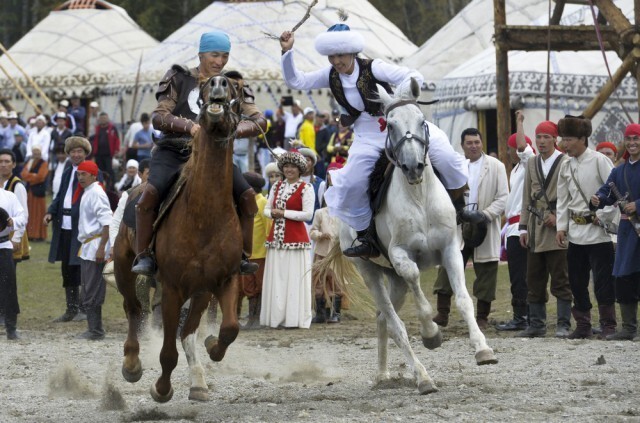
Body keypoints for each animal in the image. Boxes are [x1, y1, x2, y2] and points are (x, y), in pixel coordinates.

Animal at [112, 76, 245, 404]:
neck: (204, 216)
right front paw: (161, 388)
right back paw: (132, 364)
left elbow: (229, 329)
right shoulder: (172, 288)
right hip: (124, 269)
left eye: (235, 90)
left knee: (187, 331)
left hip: (200, 292)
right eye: (207, 87)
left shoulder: (224, 280)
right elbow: (167, 352)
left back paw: (198, 380)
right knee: (134, 310)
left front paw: (213, 348)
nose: (219, 82)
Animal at [328, 78, 498, 396]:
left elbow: (463, 299)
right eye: (391, 125)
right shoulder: (401, 255)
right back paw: (423, 378)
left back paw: (383, 374)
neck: (419, 195)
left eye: (422, 121)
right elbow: (418, 282)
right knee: (395, 324)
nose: (413, 166)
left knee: (383, 319)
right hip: (371, 272)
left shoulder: (450, 250)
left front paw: (483, 350)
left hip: (393, 280)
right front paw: (431, 333)